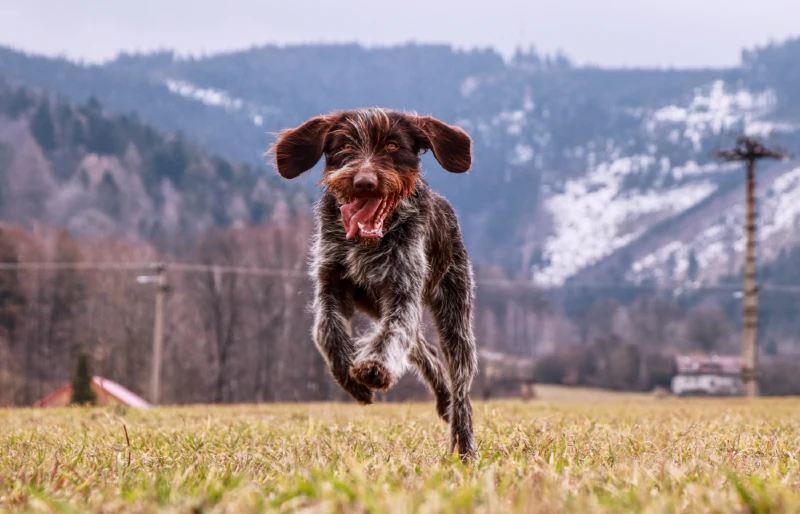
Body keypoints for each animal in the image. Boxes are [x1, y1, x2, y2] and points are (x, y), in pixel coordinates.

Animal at [272, 107, 478, 456]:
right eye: (344, 145)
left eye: (393, 146)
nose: (364, 182)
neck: (366, 243)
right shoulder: (331, 284)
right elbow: (326, 331)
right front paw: (351, 381)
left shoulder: (403, 292)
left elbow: (392, 334)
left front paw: (373, 369)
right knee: (423, 350)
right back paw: (443, 399)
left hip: (455, 314)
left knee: (459, 382)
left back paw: (462, 445)